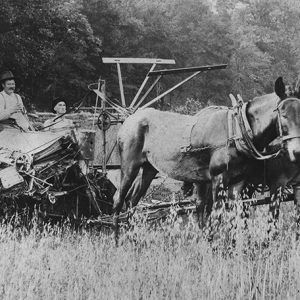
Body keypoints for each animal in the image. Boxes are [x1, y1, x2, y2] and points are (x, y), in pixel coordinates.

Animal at [115, 76, 300, 224]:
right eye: (283, 114)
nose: (296, 152)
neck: (239, 130)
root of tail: (130, 118)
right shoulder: (219, 179)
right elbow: (215, 216)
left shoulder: (238, 182)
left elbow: (231, 218)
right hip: (129, 166)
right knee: (119, 200)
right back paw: (118, 241)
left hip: (149, 168)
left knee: (132, 202)